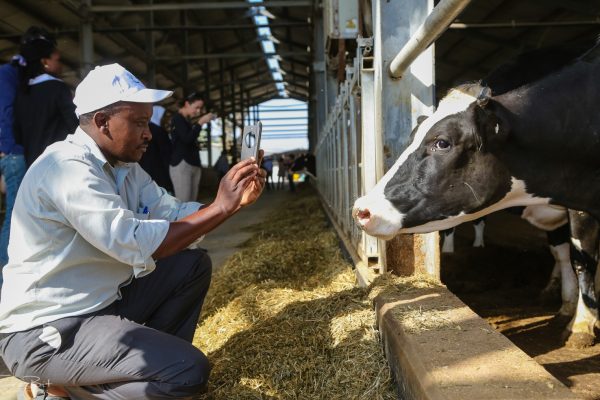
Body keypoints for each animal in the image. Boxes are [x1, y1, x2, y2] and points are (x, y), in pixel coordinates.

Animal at [352, 44, 600, 346]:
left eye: (442, 142)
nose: (362, 210)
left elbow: (582, 257)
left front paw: (582, 325)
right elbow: (563, 252)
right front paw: (567, 306)